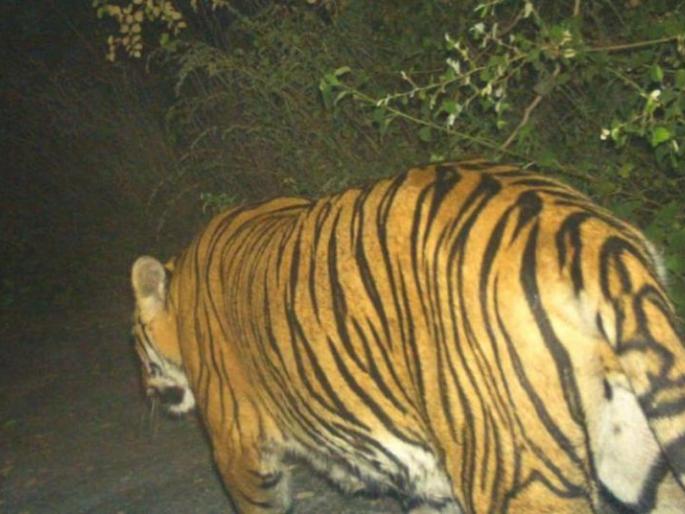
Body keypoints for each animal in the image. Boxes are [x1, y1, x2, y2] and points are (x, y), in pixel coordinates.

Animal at [130, 160, 685, 514]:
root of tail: (590, 235)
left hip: (515, 473)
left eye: (136, 344)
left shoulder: (238, 449)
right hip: (639, 459)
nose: (145, 389)